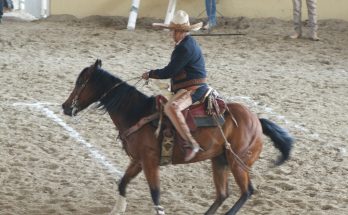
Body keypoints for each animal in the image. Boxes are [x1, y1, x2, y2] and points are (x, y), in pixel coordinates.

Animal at [61, 59, 294, 214]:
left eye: (80, 82)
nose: (65, 107)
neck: (136, 113)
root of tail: (257, 121)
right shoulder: (138, 160)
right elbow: (122, 183)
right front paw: (117, 209)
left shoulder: (149, 161)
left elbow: (155, 193)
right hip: (219, 161)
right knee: (222, 194)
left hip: (238, 163)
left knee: (246, 192)